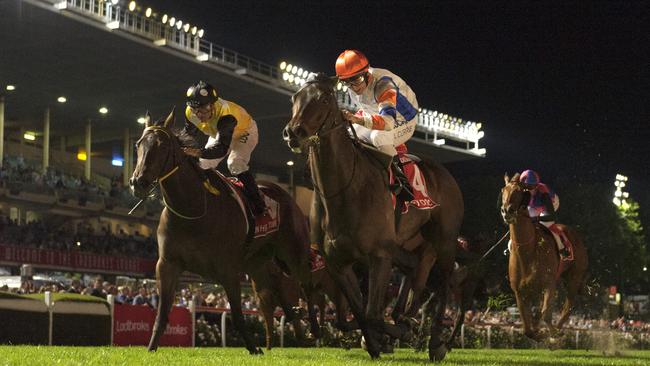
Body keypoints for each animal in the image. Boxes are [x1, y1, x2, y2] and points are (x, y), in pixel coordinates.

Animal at [280, 73, 464, 360]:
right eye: (294, 98)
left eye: (324, 98)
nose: (293, 132)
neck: (342, 190)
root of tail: (444, 173)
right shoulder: (338, 264)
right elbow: (357, 314)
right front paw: (377, 341)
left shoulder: (380, 255)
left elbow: (372, 314)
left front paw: (388, 336)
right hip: (412, 244)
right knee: (416, 271)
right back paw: (405, 318)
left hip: (444, 239)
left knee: (443, 284)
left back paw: (435, 341)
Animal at [498, 173, 584, 342]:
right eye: (504, 190)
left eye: (519, 191)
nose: (507, 211)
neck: (527, 252)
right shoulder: (519, 291)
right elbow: (527, 326)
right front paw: (536, 333)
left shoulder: (548, 284)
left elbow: (545, 314)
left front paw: (550, 334)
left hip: (573, 277)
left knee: (568, 305)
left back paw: (558, 331)